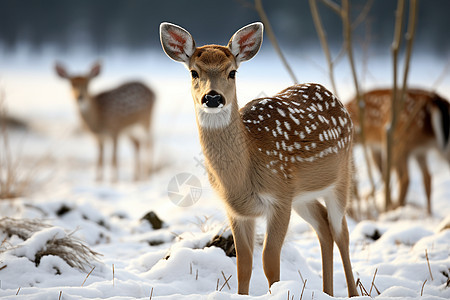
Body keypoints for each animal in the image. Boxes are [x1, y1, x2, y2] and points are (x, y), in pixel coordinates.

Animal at [160, 22, 356, 296]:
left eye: (232, 72)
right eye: (193, 72)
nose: (212, 97)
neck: (243, 175)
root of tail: (332, 94)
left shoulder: (279, 199)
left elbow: (269, 261)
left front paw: (278, 291)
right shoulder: (237, 210)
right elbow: (244, 264)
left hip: (341, 176)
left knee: (341, 232)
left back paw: (353, 293)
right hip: (301, 196)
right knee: (323, 227)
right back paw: (327, 292)